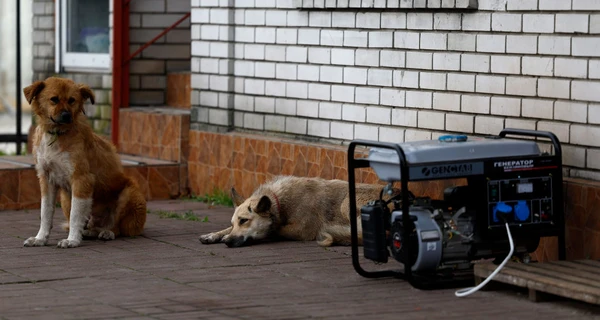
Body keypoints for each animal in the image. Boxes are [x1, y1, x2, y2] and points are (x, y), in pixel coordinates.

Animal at [22, 77, 147, 248]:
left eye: (72, 100)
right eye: (54, 99)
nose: (66, 116)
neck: (57, 134)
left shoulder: (81, 179)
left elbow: (75, 215)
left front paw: (72, 240)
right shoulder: (47, 180)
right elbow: (45, 213)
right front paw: (40, 238)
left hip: (129, 194)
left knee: (117, 227)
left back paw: (107, 232)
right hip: (65, 198)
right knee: (89, 224)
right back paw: (88, 232)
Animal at [198, 175, 390, 248]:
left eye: (244, 221)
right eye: (235, 222)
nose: (227, 242)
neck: (278, 202)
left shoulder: (302, 230)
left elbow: (274, 229)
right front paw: (214, 235)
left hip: (347, 202)